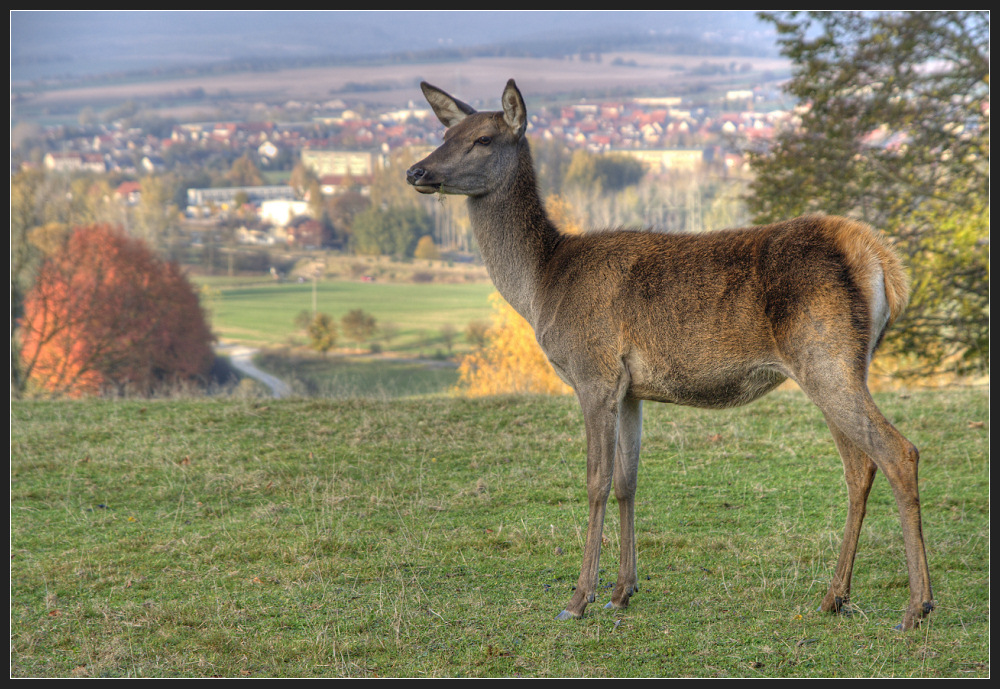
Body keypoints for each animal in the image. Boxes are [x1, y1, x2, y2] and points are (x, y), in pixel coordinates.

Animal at [406, 78, 936, 628]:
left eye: (483, 138)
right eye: (445, 133)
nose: (416, 171)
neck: (543, 285)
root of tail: (882, 261)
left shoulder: (594, 373)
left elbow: (595, 481)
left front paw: (578, 599)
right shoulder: (631, 390)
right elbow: (627, 481)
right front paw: (623, 590)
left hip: (825, 356)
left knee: (899, 453)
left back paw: (916, 605)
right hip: (842, 364)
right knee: (859, 467)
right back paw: (835, 596)